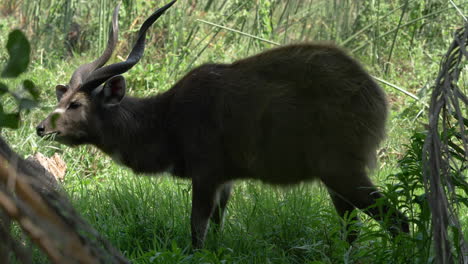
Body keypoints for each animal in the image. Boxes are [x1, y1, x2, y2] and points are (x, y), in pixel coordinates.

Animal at [36, 0, 410, 249]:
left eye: (76, 103)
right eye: (62, 97)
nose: (40, 128)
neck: (167, 117)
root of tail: (375, 96)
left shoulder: (207, 175)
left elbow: (197, 232)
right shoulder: (226, 182)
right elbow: (216, 230)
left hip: (342, 172)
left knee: (399, 221)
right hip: (336, 182)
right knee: (354, 232)